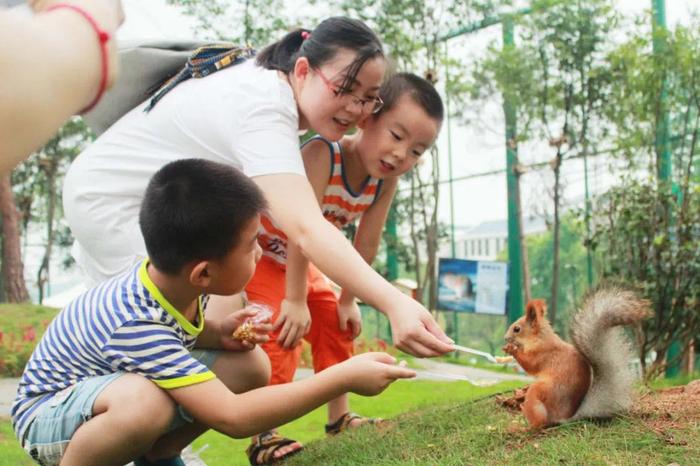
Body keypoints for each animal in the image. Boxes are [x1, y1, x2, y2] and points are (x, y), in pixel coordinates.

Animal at [504, 288, 652, 430]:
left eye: (517, 329)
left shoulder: (542, 353)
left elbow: (530, 365)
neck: (540, 338)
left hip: (538, 393)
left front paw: (512, 349)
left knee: (541, 423)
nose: (505, 338)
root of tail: (564, 417)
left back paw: (525, 425)